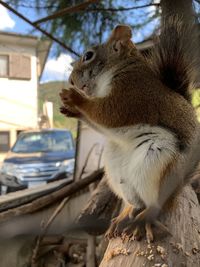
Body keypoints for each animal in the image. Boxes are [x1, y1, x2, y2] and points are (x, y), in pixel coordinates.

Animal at [59, 16, 200, 243]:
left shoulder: (131, 93)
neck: (123, 66)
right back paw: (124, 215)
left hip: (157, 163)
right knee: (135, 201)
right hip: (116, 172)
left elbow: (107, 113)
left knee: (155, 204)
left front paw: (75, 98)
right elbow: (100, 122)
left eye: (88, 55)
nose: (71, 81)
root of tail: (176, 189)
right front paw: (71, 109)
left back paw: (144, 219)